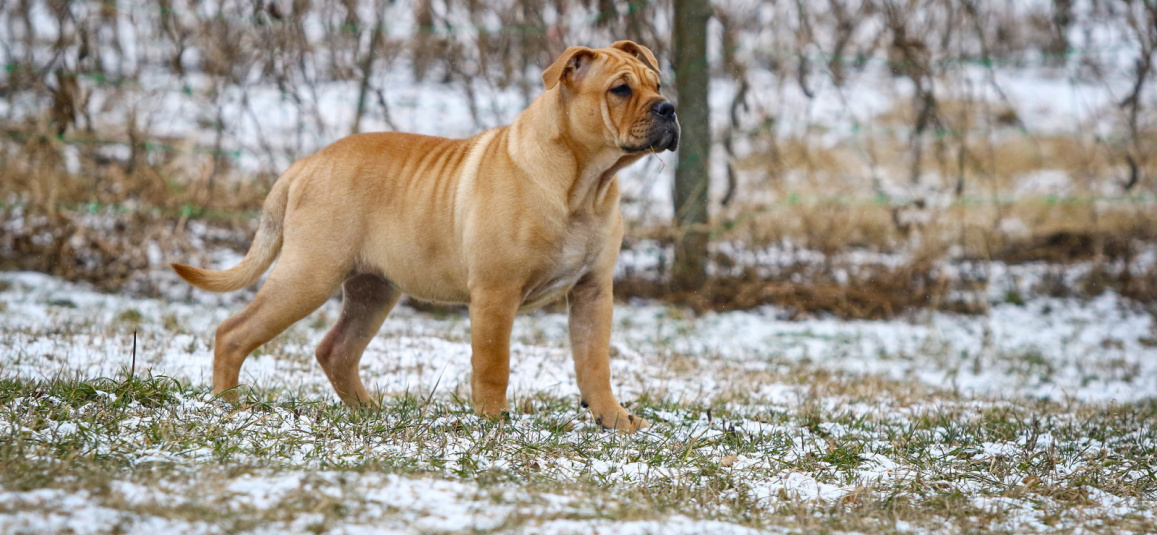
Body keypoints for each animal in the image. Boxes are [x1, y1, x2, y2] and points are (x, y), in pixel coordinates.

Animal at [171, 41, 675, 435]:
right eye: (621, 89)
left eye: (658, 84)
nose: (668, 108)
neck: (585, 185)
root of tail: (306, 163)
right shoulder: (496, 293)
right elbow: (493, 363)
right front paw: (493, 422)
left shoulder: (593, 291)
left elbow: (595, 364)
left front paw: (615, 420)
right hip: (308, 275)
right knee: (233, 332)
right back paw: (228, 405)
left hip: (372, 290)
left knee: (336, 349)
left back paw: (369, 412)